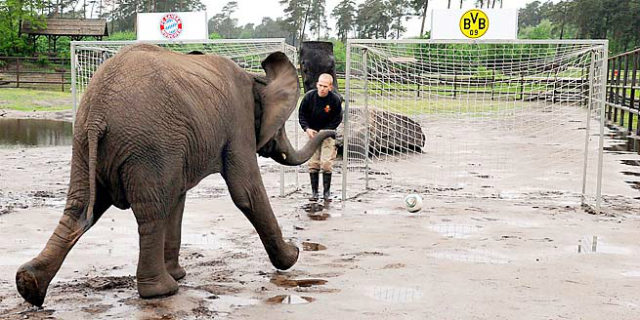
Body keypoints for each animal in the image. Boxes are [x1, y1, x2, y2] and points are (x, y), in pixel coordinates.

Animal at [15, 43, 336, 306]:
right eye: (280, 126)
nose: (332, 132)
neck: (255, 79)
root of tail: (96, 115)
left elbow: (179, 200)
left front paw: (179, 273)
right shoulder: (238, 124)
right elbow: (245, 192)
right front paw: (293, 256)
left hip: (85, 143)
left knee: (79, 208)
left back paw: (29, 286)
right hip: (148, 145)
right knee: (151, 213)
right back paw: (161, 291)